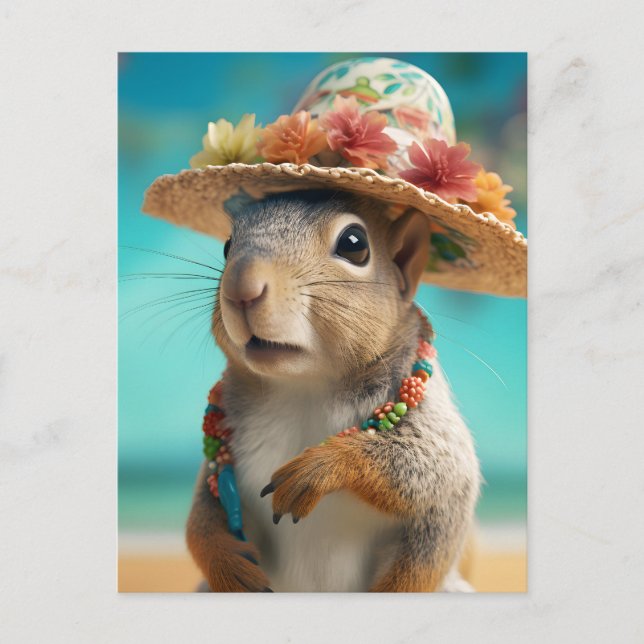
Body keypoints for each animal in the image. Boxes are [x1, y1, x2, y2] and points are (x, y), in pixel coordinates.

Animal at [186, 190, 481, 592]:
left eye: (354, 244)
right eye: (228, 245)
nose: (240, 288)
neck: (304, 390)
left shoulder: (436, 431)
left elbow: (433, 465)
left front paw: (321, 466)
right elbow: (202, 514)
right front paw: (228, 567)